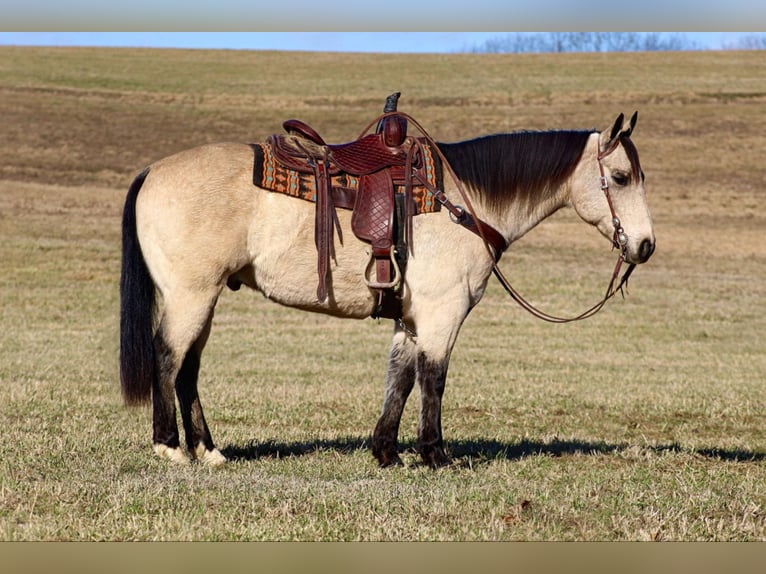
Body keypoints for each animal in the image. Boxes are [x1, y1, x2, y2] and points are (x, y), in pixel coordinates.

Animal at [118, 106, 656, 470]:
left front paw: (387, 452)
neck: (463, 202)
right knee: (168, 355)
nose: (646, 245)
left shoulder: (411, 318)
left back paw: (208, 450)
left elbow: (399, 377)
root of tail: (152, 172)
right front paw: (435, 455)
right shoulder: (442, 314)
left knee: (188, 367)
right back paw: (170, 446)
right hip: (191, 294)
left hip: (203, 298)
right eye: (620, 177)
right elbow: (433, 378)